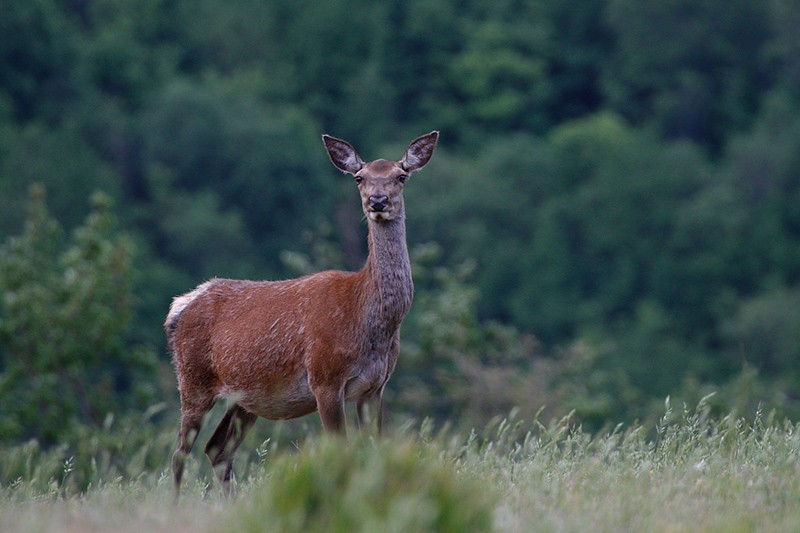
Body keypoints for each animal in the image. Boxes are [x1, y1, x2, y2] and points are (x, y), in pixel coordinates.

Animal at [162, 129, 438, 494]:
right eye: (360, 177)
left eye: (401, 175)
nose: (377, 201)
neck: (367, 319)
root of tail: (179, 307)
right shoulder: (325, 378)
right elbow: (342, 452)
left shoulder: (375, 387)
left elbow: (374, 451)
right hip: (193, 380)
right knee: (180, 452)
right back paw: (174, 502)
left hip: (246, 397)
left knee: (216, 448)